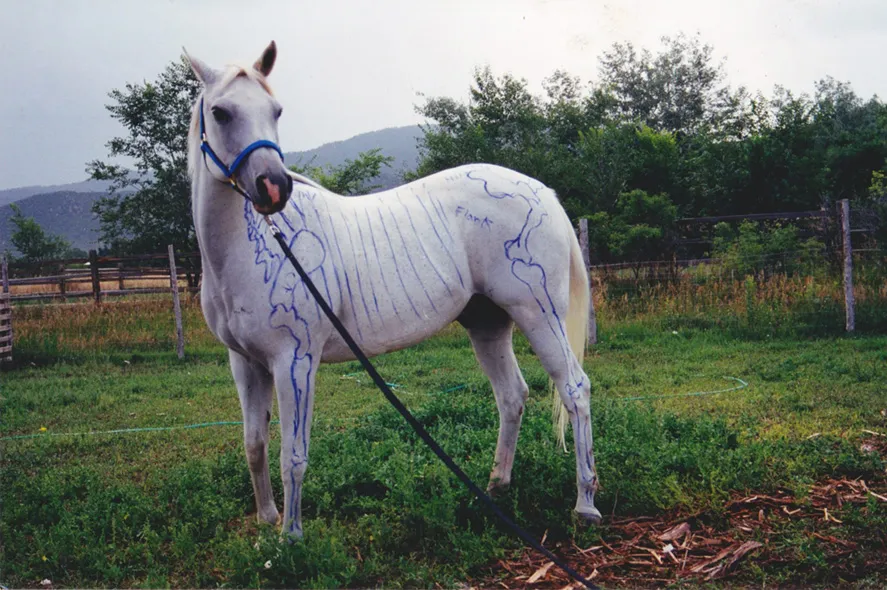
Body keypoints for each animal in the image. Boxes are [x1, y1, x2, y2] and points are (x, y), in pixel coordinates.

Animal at [183, 41, 601, 538]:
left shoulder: (295, 362)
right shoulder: (245, 364)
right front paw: (268, 522)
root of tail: (543, 194)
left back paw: (585, 504)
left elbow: (293, 456)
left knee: (574, 389)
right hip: (488, 324)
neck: (254, 250)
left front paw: (292, 538)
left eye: (276, 110)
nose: (274, 187)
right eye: (221, 112)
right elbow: (254, 445)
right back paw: (496, 487)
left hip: (539, 313)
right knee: (512, 396)